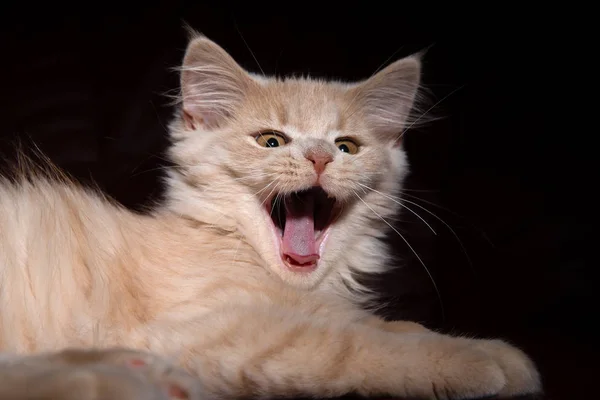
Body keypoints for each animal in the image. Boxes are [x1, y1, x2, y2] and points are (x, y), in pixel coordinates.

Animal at [0, 32, 544, 400]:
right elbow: (346, 345)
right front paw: (470, 362)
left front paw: (500, 355)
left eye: (346, 147)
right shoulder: (199, 329)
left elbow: (385, 324)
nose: (320, 158)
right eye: (271, 141)